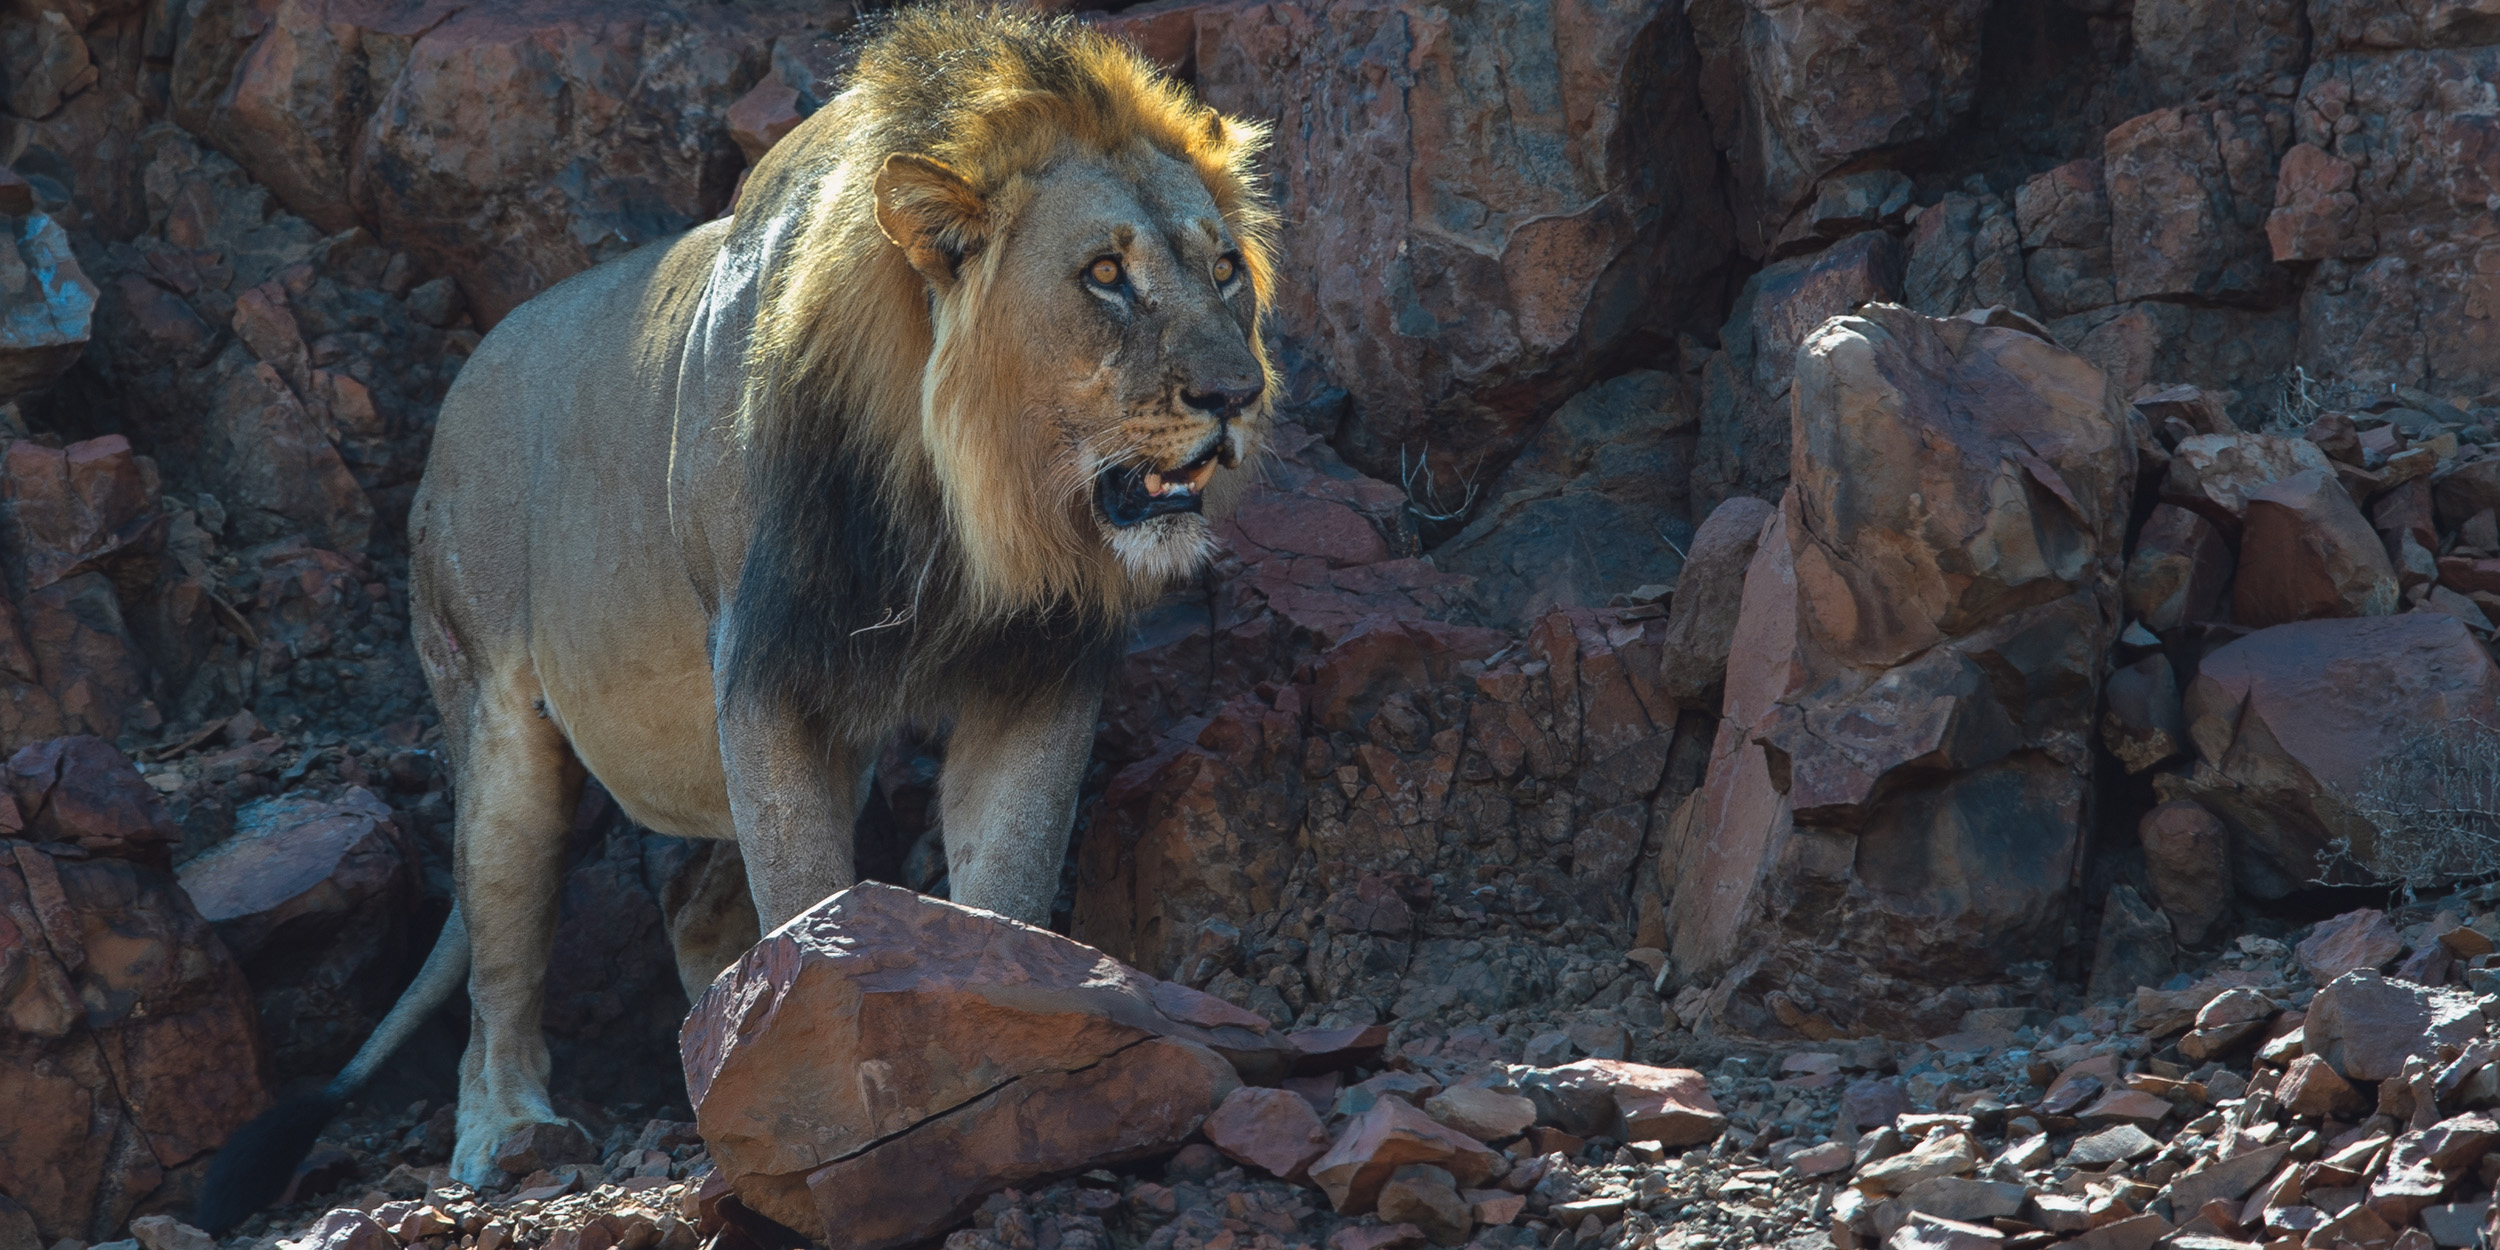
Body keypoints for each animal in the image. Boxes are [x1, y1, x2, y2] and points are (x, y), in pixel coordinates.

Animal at [197, 5, 1277, 1223]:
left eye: (1225, 270)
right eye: (1104, 274)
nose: (1238, 396)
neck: (964, 514)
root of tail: (463, 382)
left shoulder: (1035, 674)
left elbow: (1002, 887)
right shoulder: (766, 674)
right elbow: (808, 897)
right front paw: (821, 1086)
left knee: (688, 907)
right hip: (493, 721)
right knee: (498, 960)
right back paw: (510, 1129)